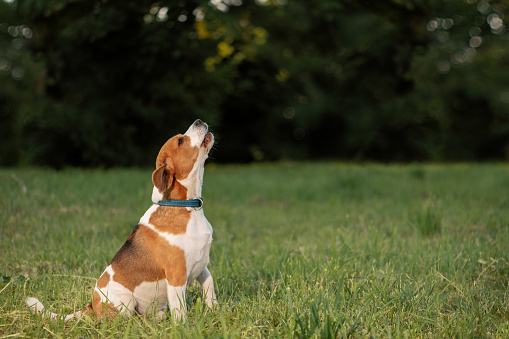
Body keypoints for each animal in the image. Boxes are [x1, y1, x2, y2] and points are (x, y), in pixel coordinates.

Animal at [26, 121, 216, 322]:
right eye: (180, 141)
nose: (198, 121)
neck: (187, 207)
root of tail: (92, 306)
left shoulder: (202, 266)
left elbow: (209, 287)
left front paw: (215, 310)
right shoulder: (177, 276)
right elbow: (180, 310)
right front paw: (183, 326)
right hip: (126, 303)